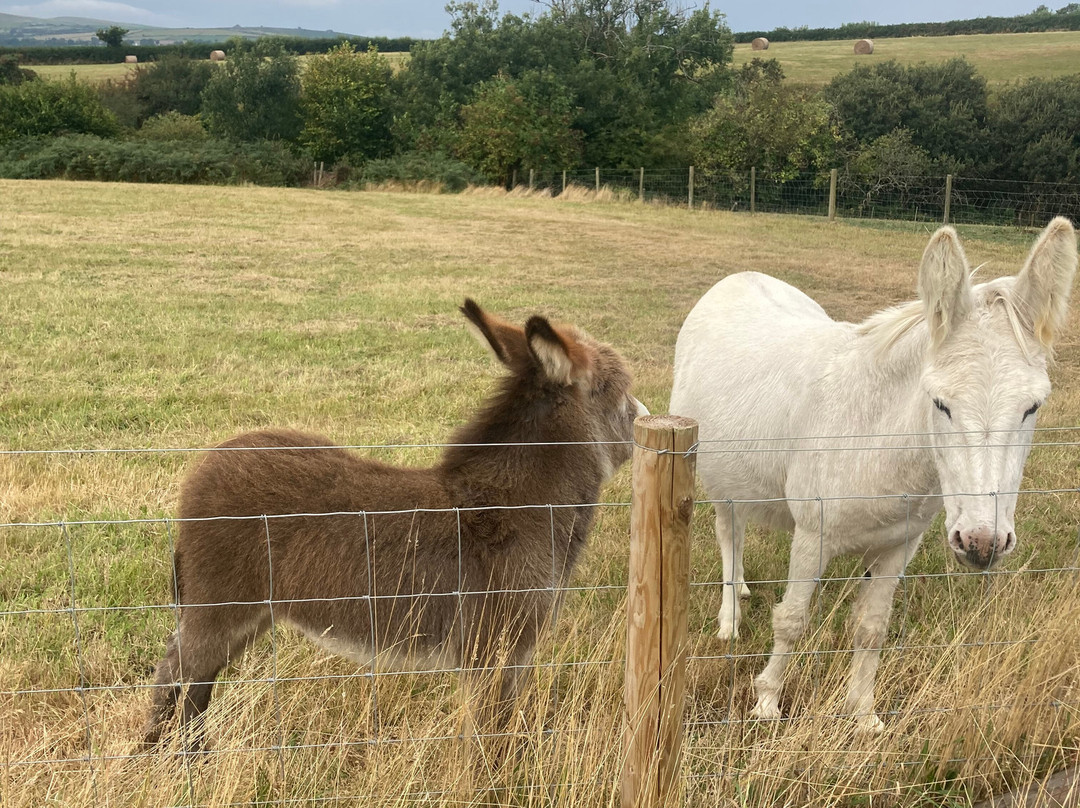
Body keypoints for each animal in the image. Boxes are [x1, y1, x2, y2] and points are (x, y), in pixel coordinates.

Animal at [143, 299, 647, 749]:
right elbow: (491, 738)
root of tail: (203, 466)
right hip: (220, 607)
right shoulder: (493, 654)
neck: (518, 508)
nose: (648, 418)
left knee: (197, 684)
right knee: (173, 675)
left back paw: (192, 757)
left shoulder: (505, 658)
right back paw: (157, 758)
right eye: (617, 389)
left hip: (251, 614)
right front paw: (491, 783)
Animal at [669, 218, 1077, 732]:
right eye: (940, 403)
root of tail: (741, 276)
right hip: (715, 476)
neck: (878, 438)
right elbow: (793, 620)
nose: (982, 544)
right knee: (730, 534)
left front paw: (863, 714)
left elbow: (871, 627)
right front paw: (766, 704)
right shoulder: (813, 536)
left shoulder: (899, 545)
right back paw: (730, 618)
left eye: (1033, 407)